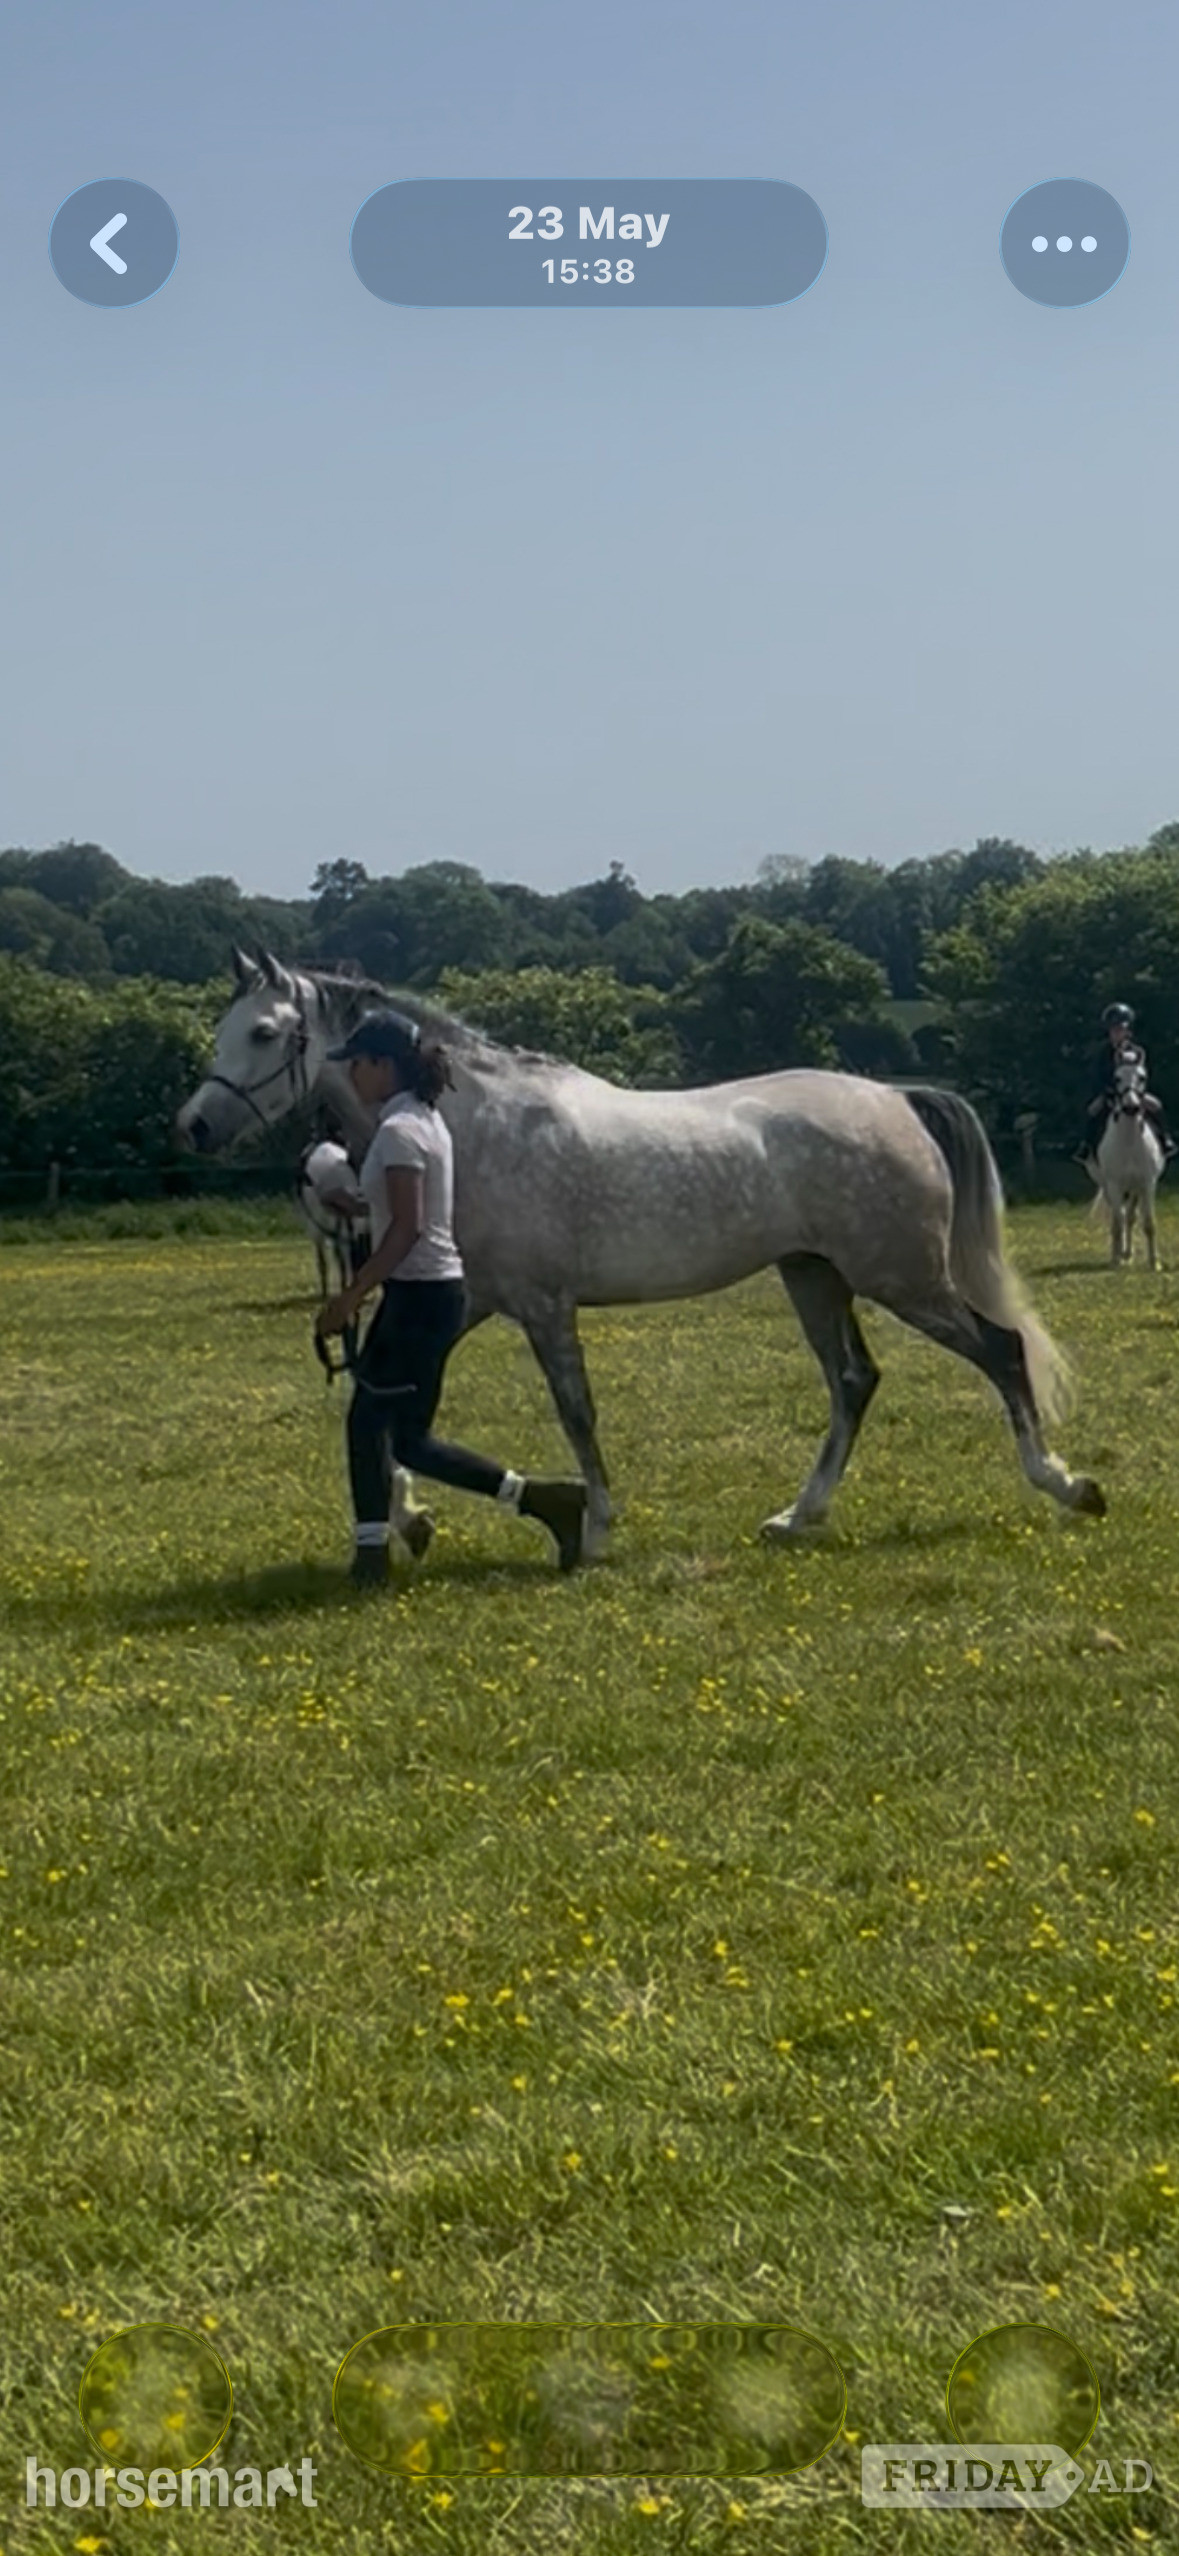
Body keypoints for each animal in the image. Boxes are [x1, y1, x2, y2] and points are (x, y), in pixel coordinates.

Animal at [174, 945, 1107, 1554]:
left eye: (264, 1032)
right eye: (225, 1028)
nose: (194, 1127)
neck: (470, 1126)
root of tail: (895, 1098)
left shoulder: (541, 1307)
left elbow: (574, 1412)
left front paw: (592, 1526)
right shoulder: (470, 1299)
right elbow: (391, 1410)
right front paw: (408, 1517)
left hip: (901, 1277)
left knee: (999, 1349)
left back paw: (1065, 1485)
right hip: (814, 1277)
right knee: (853, 1382)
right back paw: (794, 1517)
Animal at [1091, 1053, 1165, 1270]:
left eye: (1142, 1077)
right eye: (1117, 1078)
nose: (1131, 1107)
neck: (1130, 1142)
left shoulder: (1147, 1184)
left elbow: (1148, 1223)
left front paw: (1154, 1263)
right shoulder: (1114, 1185)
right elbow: (1116, 1223)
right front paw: (1115, 1260)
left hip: (1133, 1190)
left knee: (1130, 1218)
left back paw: (1128, 1254)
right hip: (1110, 1187)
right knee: (1121, 1217)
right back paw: (1120, 1255)